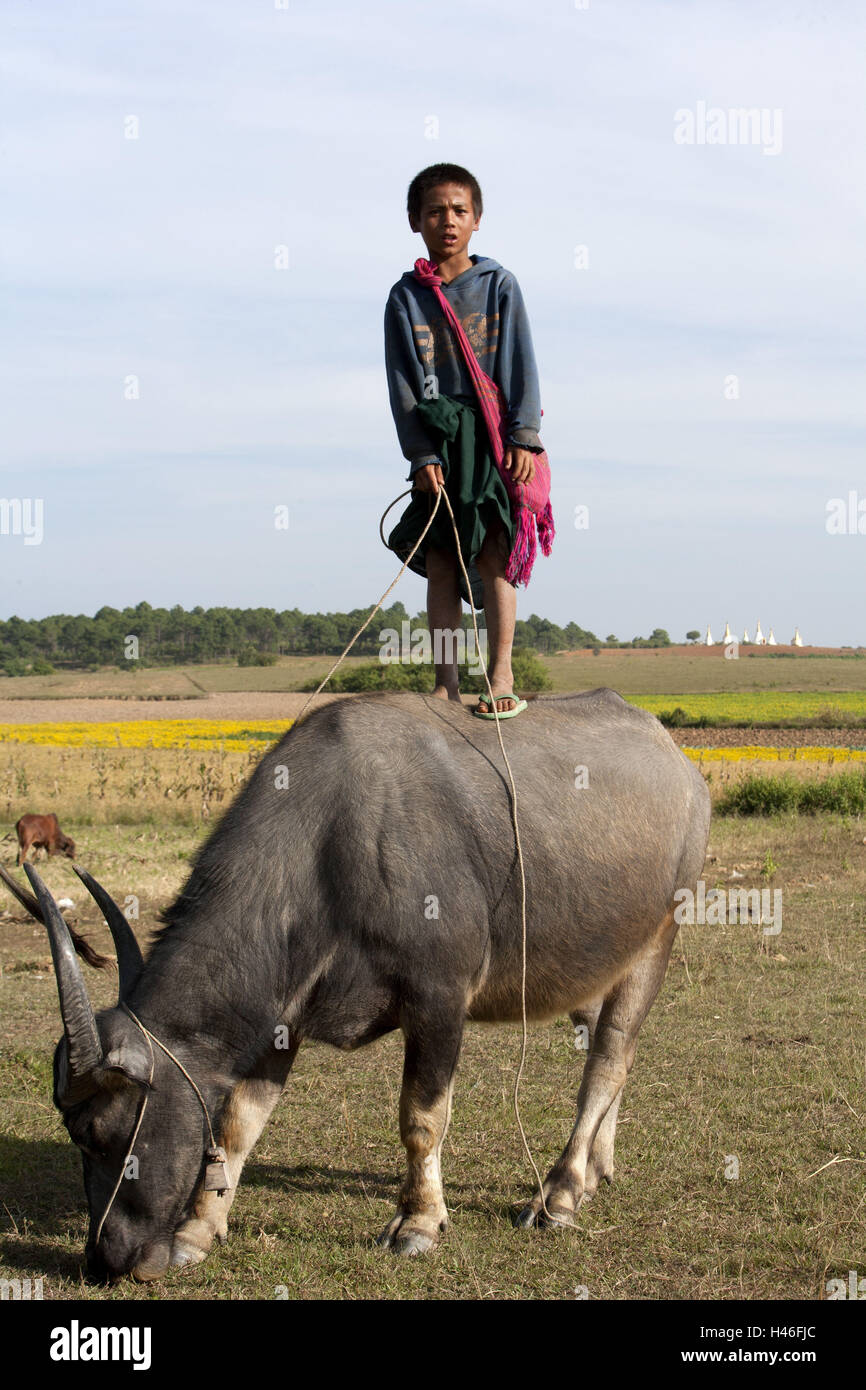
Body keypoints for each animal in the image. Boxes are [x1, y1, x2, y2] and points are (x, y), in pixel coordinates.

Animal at [20, 689, 711, 1284]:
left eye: (95, 1130)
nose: (104, 1258)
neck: (334, 847)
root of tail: (683, 768)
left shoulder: (439, 1000)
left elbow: (422, 1119)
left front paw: (418, 1222)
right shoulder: (283, 1015)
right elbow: (238, 1122)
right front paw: (197, 1230)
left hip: (657, 940)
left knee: (610, 1059)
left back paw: (561, 1190)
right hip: (593, 963)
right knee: (603, 1051)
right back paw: (596, 1170)